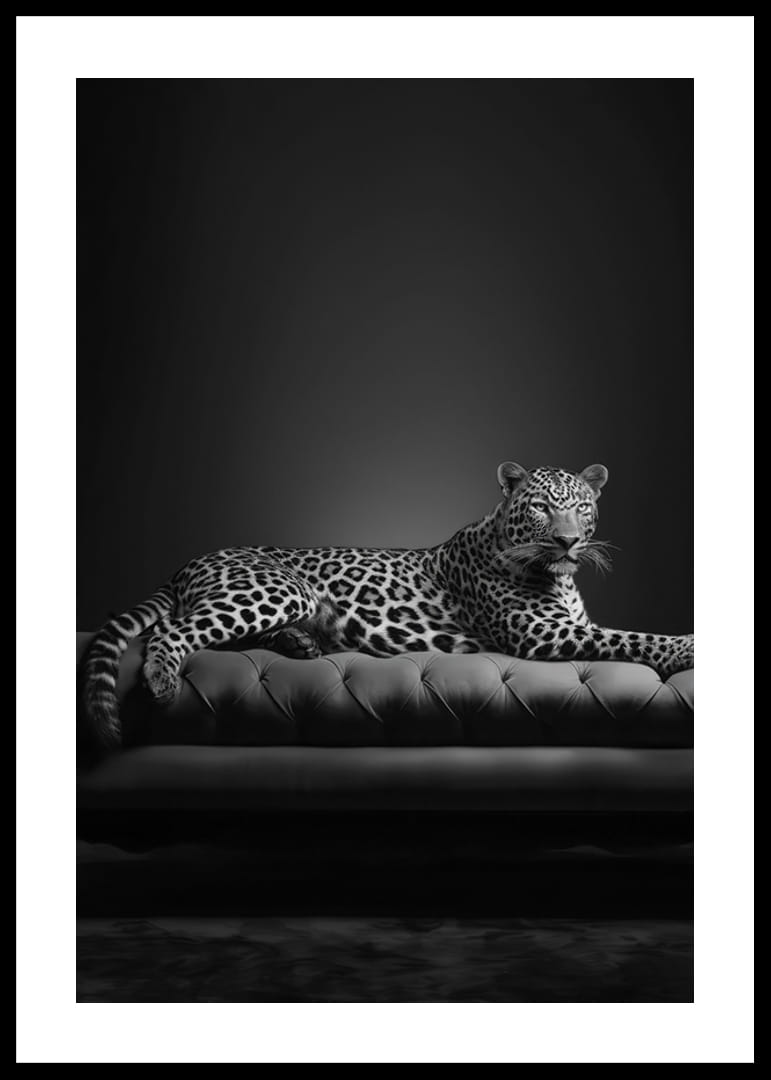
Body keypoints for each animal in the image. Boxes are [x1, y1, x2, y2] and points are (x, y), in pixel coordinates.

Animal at [83, 460, 694, 748]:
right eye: (543, 507)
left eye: (582, 507)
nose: (568, 541)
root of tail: (187, 562)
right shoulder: (541, 633)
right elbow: (632, 637)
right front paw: (687, 646)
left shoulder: (566, 623)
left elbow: (624, 632)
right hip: (277, 588)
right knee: (173, 632)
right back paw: (163, 680)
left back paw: (300, 643)